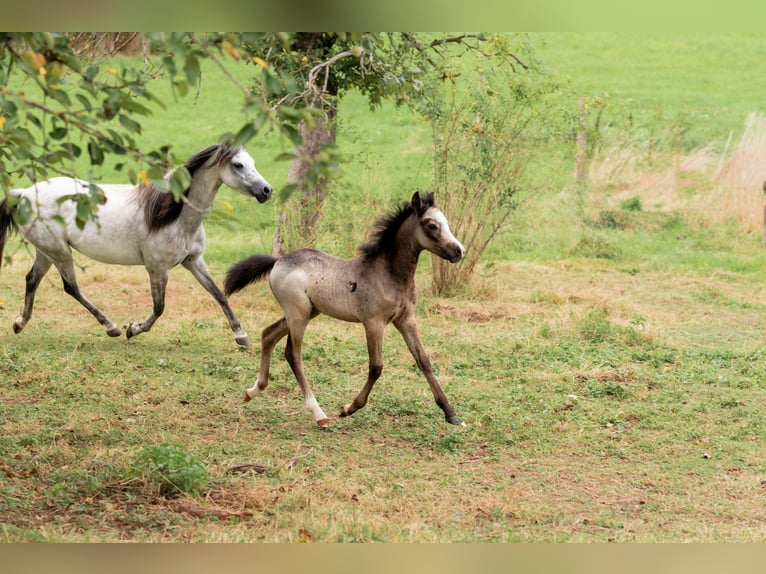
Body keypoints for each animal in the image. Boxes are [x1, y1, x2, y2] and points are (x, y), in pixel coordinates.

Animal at [0, 142, 274, 348]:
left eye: (252, 162)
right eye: (238, 165)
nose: (267, 190)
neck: (173, 215)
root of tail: (25, 194)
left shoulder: (193, 261)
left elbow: (218, 293)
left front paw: (241, 336)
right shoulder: (157, 268)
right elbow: (159, 307)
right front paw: (133, 329)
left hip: (47, 251)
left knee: (32, 279)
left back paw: (19, 323)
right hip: (60, 252)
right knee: (71, 287)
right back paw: (111, 327)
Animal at [225, 192, 464, 428]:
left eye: (446, 222)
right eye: (432, 225)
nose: (459, 251)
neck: (388, 274)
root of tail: (278, 260)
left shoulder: (406, 320)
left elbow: (423, 360)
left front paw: (451, 413)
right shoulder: (373, 323)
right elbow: (376, 366)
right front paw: (349, 408)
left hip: (307, 313)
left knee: (268, 334)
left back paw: (252, 391)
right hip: (298, 315)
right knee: (293, 354)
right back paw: (319, 413)